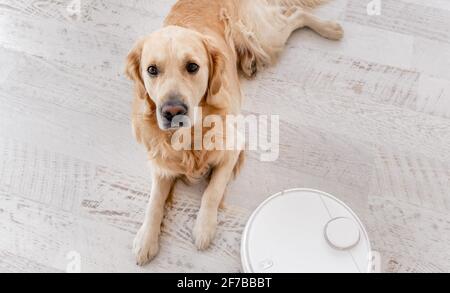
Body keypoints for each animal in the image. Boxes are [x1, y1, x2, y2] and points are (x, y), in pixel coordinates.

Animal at [125, 0, 342, 264]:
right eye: (152, 70)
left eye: (193, 67)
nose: (173, 111)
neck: (192, 136)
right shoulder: (161, 163)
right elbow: (154, 201)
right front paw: (146, 238)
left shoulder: (232, 149)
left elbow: (212, 191)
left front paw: (204, 228)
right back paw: (250, 62)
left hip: (267, 37)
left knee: (296, 14)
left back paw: (330, 28)